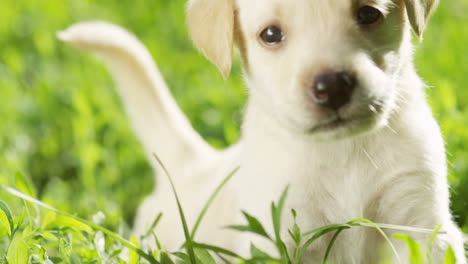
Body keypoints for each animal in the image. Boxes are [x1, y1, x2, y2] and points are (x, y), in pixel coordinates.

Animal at [60, 0, 466, 262]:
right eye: (271, 34)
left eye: (369, 14)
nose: (332, 86)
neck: (342, 152)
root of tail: (191, 164)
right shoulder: (283, 236)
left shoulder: (421, 224)